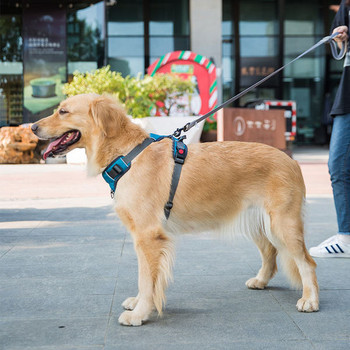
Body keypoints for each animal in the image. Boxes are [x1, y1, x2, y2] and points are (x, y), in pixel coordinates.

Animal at [31, 93, 318, 326]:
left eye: (63, 111)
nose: (32, 127)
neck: (127, 155)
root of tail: (291, 160)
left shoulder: (149, 236)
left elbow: (148, 280)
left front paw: (140, 314)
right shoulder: (141, 238)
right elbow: (144, 277)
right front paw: (138, 304)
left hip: (282, 224)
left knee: (307, 262)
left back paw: (310, 299)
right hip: (260, 224)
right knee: (270, 252)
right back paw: (261, 280)